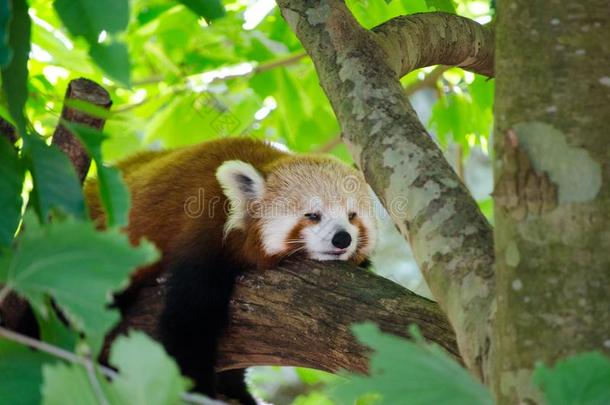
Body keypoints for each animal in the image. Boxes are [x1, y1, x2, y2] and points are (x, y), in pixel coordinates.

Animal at [82, 138, 376, 400]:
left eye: (352, 216)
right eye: (313, 216)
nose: (342, 239)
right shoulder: (205, 238)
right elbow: (189, 324)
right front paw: (197, 391)